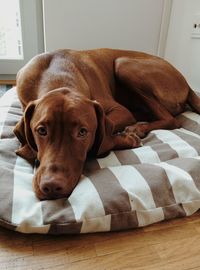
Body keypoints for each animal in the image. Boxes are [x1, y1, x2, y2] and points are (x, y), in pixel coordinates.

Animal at [14, 48, 200, 200]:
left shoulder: (120, 110)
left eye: (82, 132)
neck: (56, 74)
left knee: (171, 119)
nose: (52, 186)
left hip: (123, 64)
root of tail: (187, 84)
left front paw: (127, 138)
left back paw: (139, 127)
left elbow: (104, 138)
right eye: (41, 131)